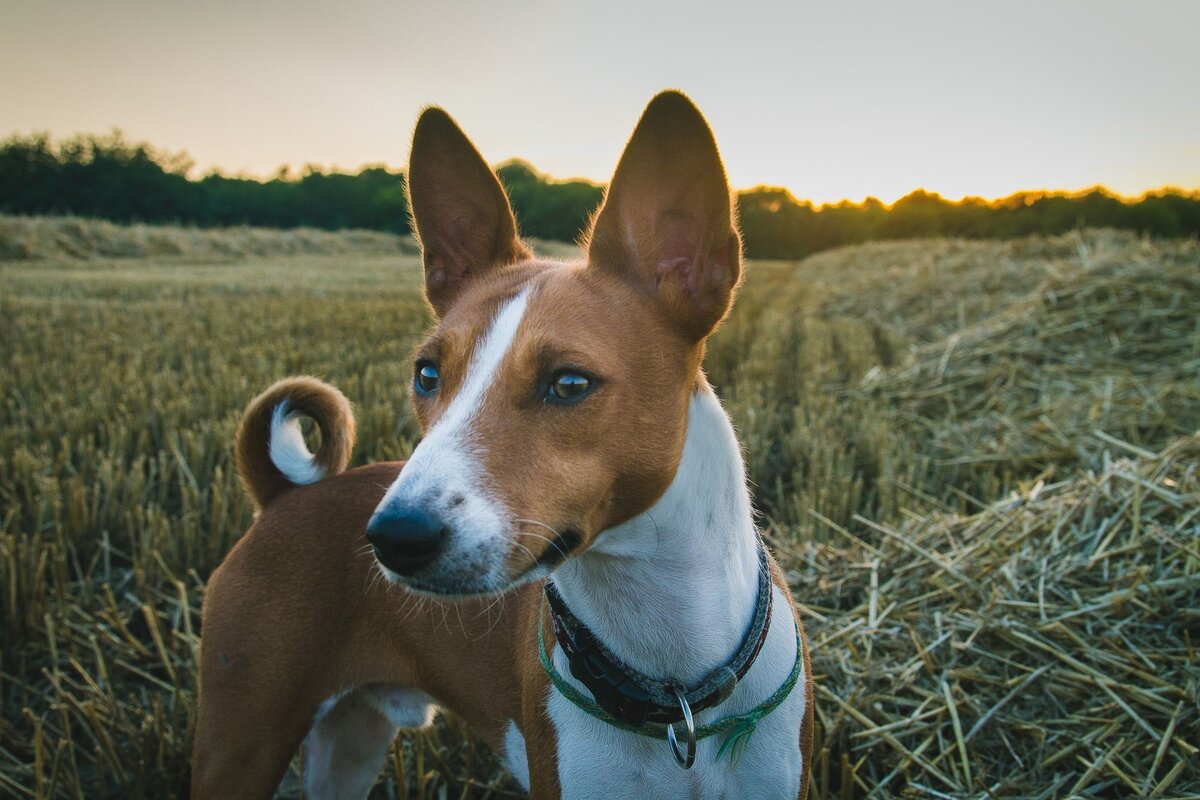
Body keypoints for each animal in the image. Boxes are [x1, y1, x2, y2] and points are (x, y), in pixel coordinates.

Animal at [192, 90, 816, 796]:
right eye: (427, 374)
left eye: (568, 384)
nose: (395, 537)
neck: (672, 684)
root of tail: (280, 497)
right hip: (241, 745)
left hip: (349, 743)